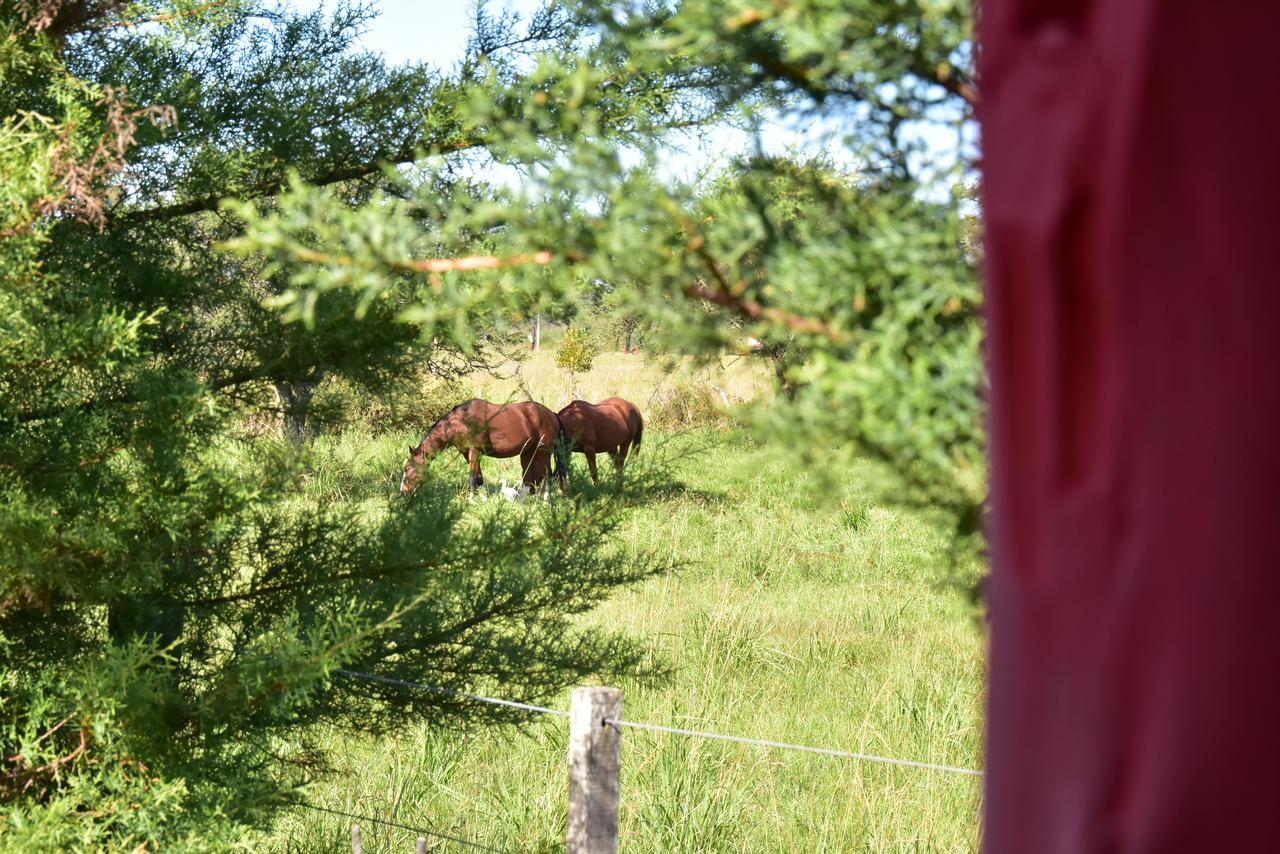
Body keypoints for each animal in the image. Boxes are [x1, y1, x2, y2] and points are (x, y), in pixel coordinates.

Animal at [396, 399, 563, 494]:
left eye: (409, 470)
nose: (403, 492)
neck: (461, 421)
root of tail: (553, 415)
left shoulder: (475, 452)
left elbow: (472, 478)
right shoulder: (467, 453)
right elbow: (479, 478)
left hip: (544, 451)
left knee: (546, 475)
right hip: (528, 452)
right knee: (530, 477)